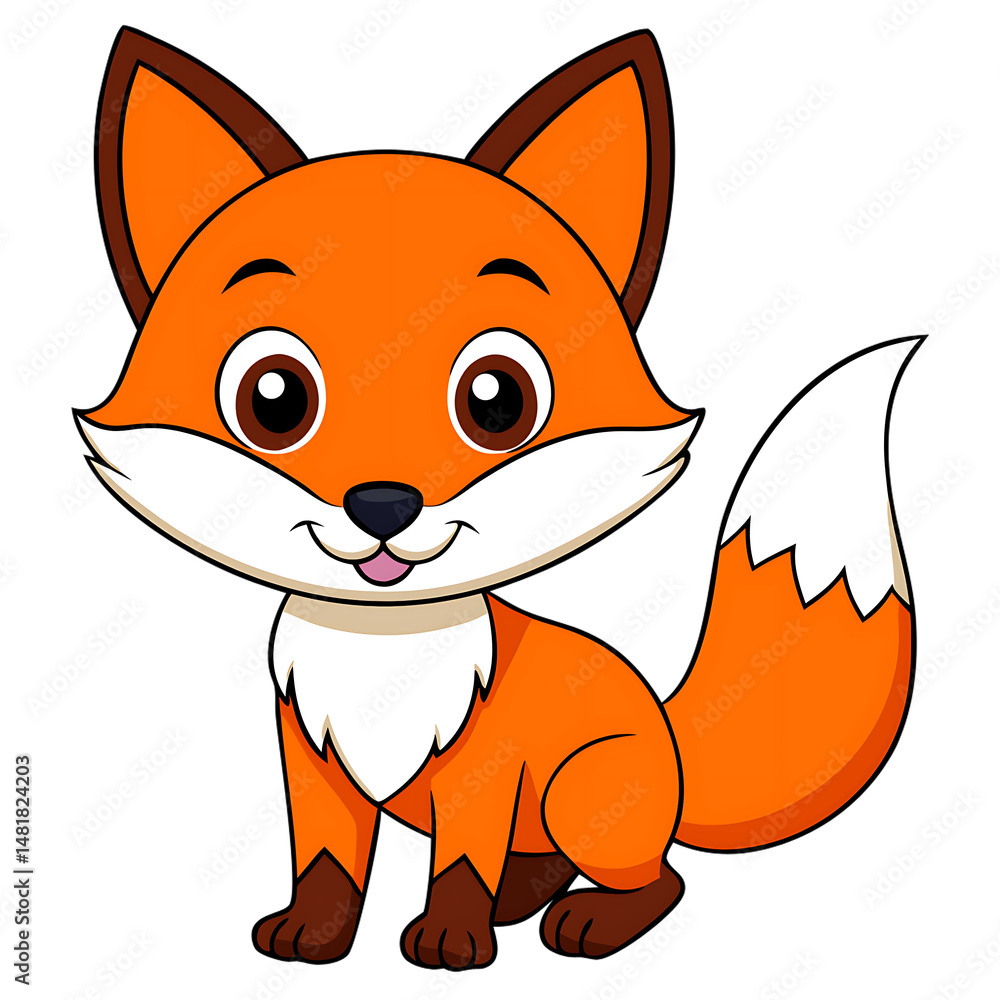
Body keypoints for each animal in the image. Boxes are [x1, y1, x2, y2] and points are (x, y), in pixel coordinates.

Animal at [77, 27, 919, 969]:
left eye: (497, 399)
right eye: (274, 398)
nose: (382, 504)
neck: (383, 653)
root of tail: (670, 740)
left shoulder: (483, 775)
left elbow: (459, 866)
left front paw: (451, 940)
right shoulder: (313, 761)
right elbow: (326, 863)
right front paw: (312, 935)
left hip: (583, 789)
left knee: (660, 880)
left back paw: (586, 922)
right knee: (550, 862)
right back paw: (526, 899)